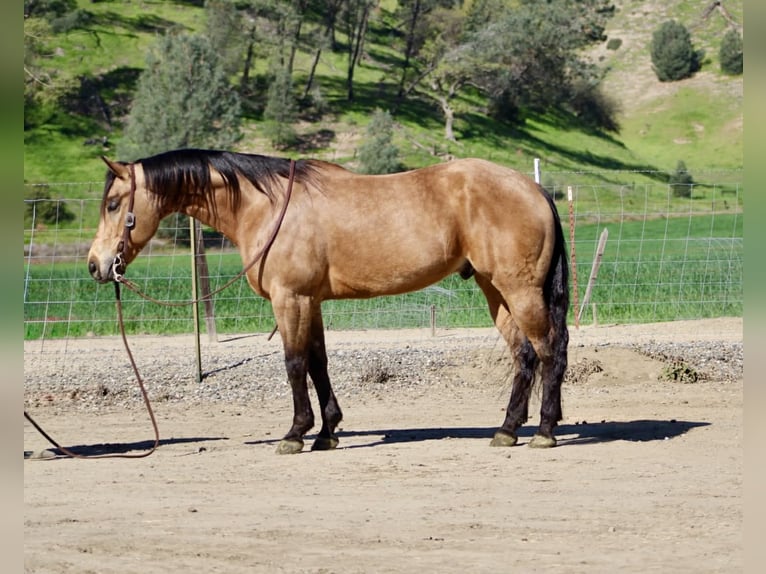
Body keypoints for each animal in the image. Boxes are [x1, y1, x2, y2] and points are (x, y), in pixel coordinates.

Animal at [87, 148, 569, 454]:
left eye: (113, 203)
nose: (96, 264)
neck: (266, 207)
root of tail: (535, 190)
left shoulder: (291, 299)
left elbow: (295, 364)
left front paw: (295, 434)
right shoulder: (311, 302)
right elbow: (318, 363)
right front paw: (326, 432)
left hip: (519, 289)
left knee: (549, 350)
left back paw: (544, 430)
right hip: (496, 291)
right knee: (525, 355)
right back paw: (507, 430)